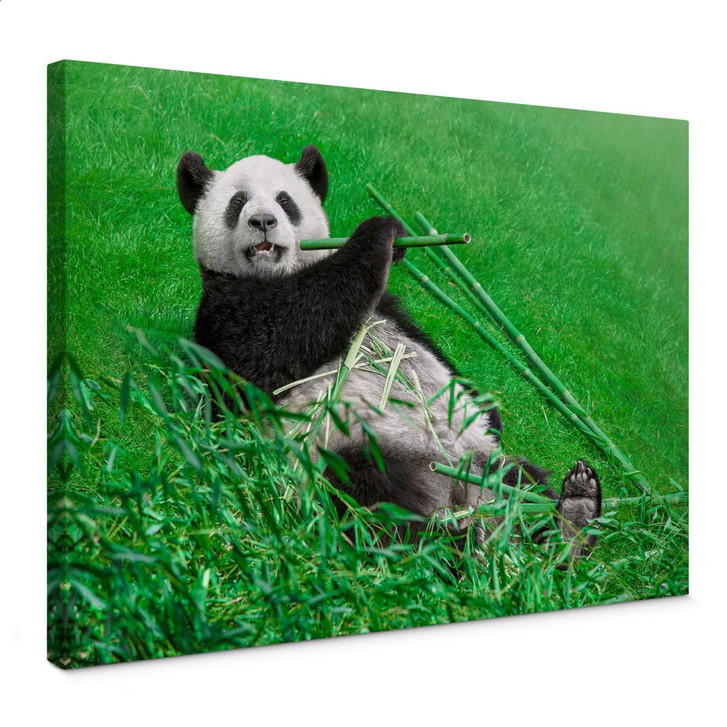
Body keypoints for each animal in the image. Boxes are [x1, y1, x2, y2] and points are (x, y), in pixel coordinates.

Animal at [177, 145, 601, 554]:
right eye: (238, 202)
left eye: (285, 201)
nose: (263, 221)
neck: (280, 273)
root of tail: (461, 499)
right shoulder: (227, 308)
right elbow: (277, 339)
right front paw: (380, 234)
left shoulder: (391, 312)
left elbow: (451, 371)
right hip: (346, 445)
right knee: (372, 502)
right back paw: (447, 545)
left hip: (477, 457)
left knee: (523, 482)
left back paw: (573, 515)